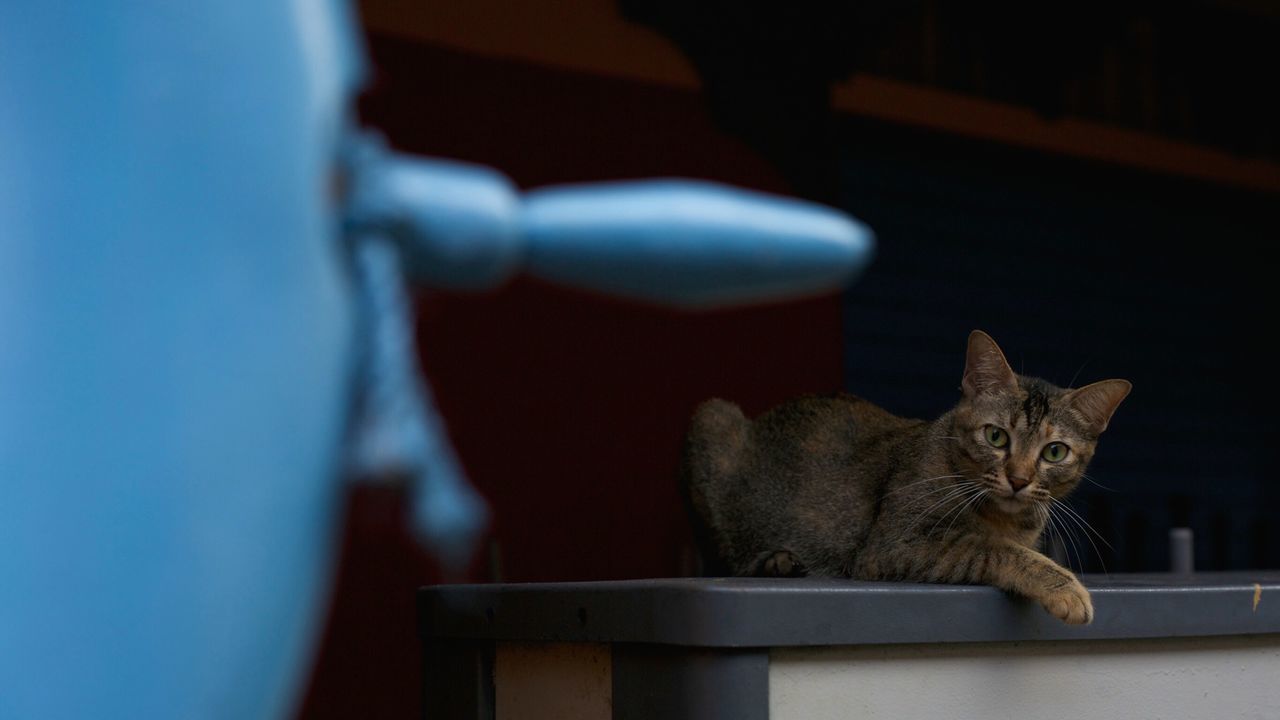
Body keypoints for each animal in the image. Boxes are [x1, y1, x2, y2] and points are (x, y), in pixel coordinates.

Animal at [680, 327, 1131, 620]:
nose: (1018, 480)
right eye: (996, 436)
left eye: (1055, 452)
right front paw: (1065, 588)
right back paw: (776, 561)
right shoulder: (894, 545)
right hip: (711, 419)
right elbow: (993, 548)